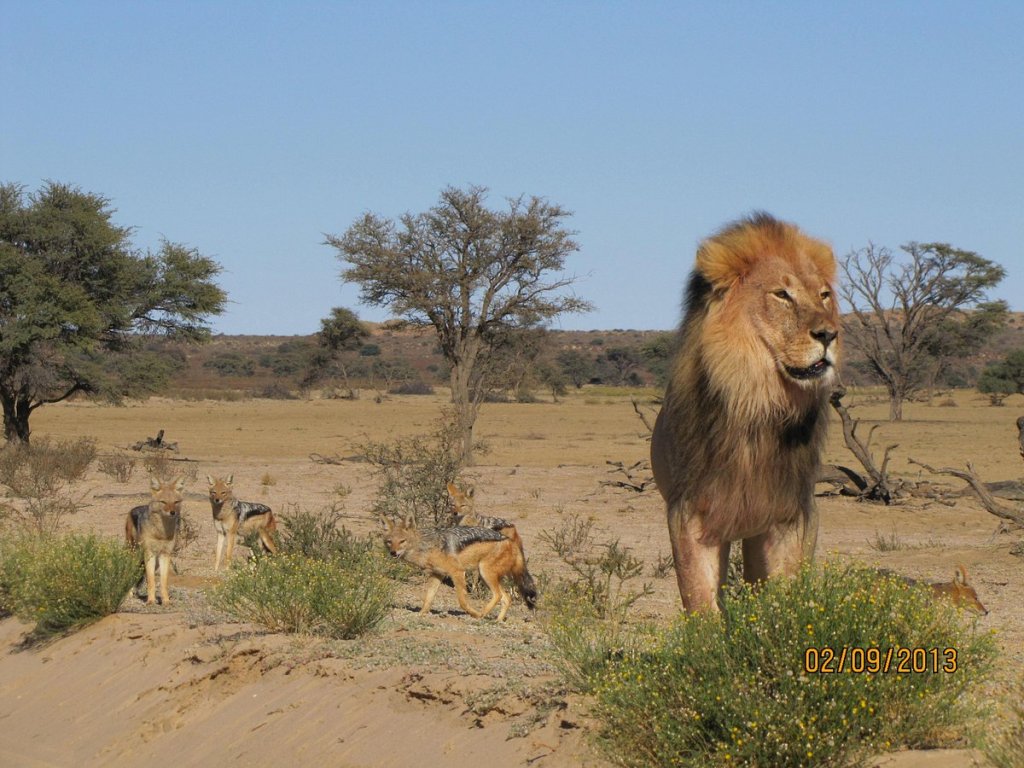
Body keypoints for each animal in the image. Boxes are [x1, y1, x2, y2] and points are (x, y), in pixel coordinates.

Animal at [651, 213, 839, 611]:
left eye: (824, 295)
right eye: (782, 294)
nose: (829, 335)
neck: (757, 401)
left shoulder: (791, 514)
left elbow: (785, 598)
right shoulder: (690, 513)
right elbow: (701, 601)